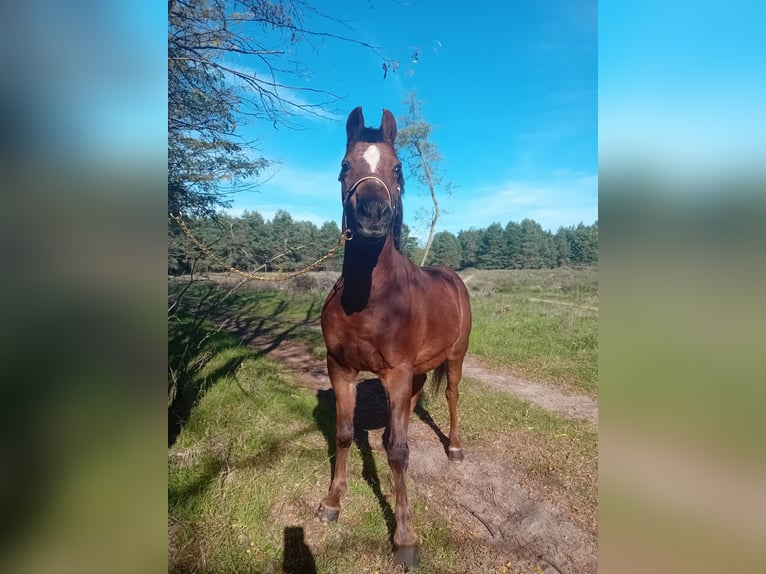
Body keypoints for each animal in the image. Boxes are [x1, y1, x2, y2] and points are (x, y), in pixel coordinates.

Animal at [316, 106, 472, 568]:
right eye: (344, 166)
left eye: (398, 167)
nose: (373, 213)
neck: (369, 298)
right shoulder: (341, 369)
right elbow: (345, 433)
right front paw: (332, 503)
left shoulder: (396, 373)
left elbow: (398, 452)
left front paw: (405, 538)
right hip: (416, 371)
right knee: (411, 405)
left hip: (455, 359)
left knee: (452, 396)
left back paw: (455, 448)